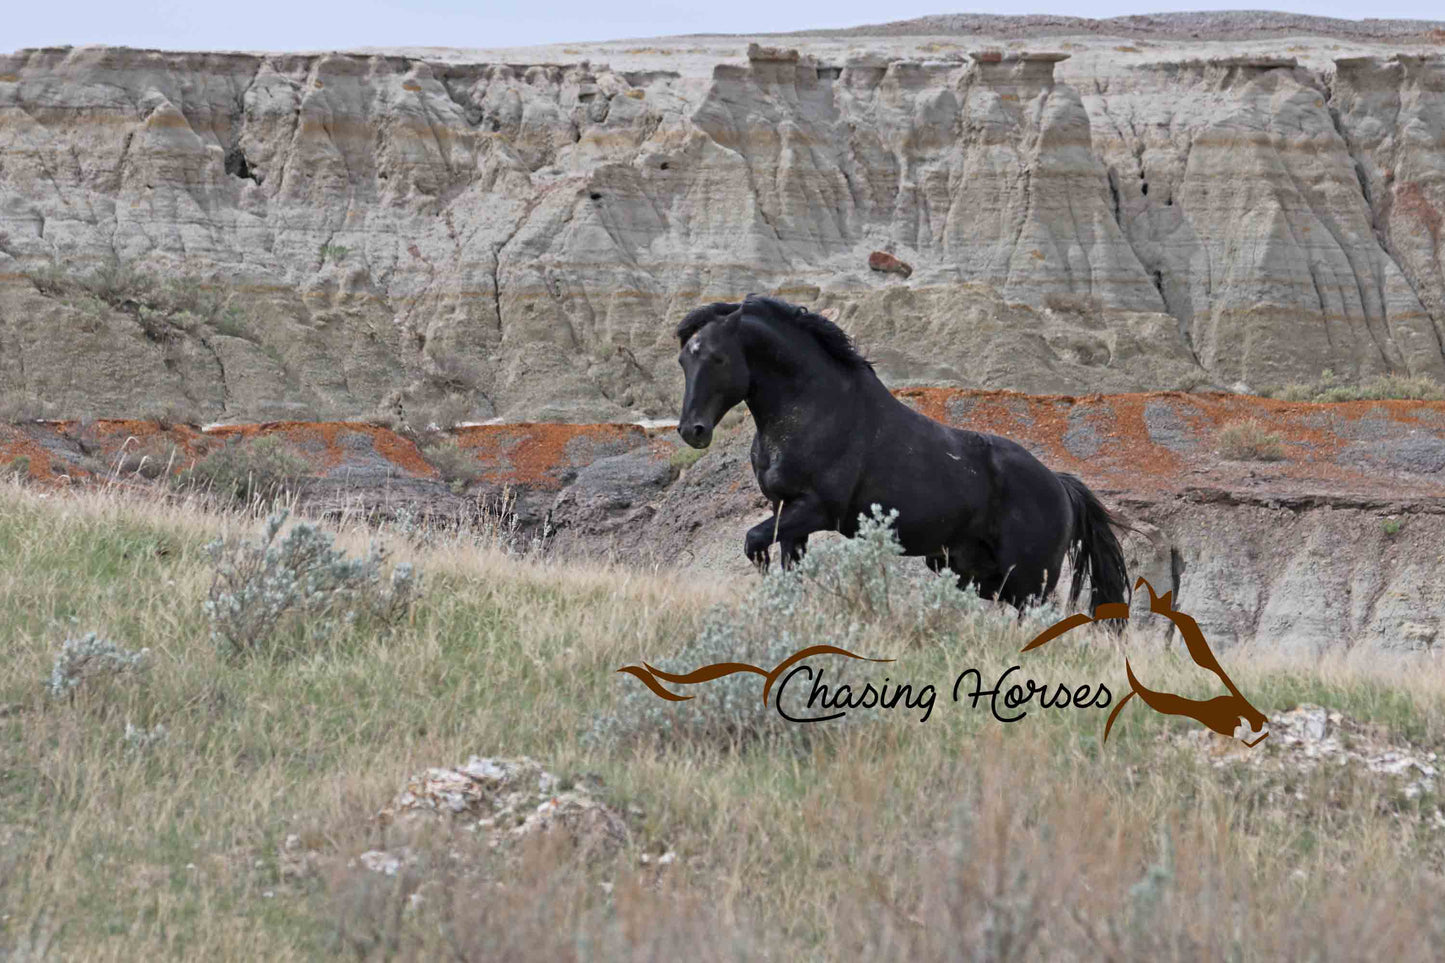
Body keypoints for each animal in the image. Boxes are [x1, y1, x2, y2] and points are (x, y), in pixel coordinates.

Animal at [674, 294, 1130, 617]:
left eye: (717, 357)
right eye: (683, 359)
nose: (692, 430)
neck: (814, 407)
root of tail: (1059, 485)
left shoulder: (817, 510)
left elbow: (753, 542)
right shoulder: (786, 512)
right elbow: (788, 567)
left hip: (1029, 582)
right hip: (977, 574)